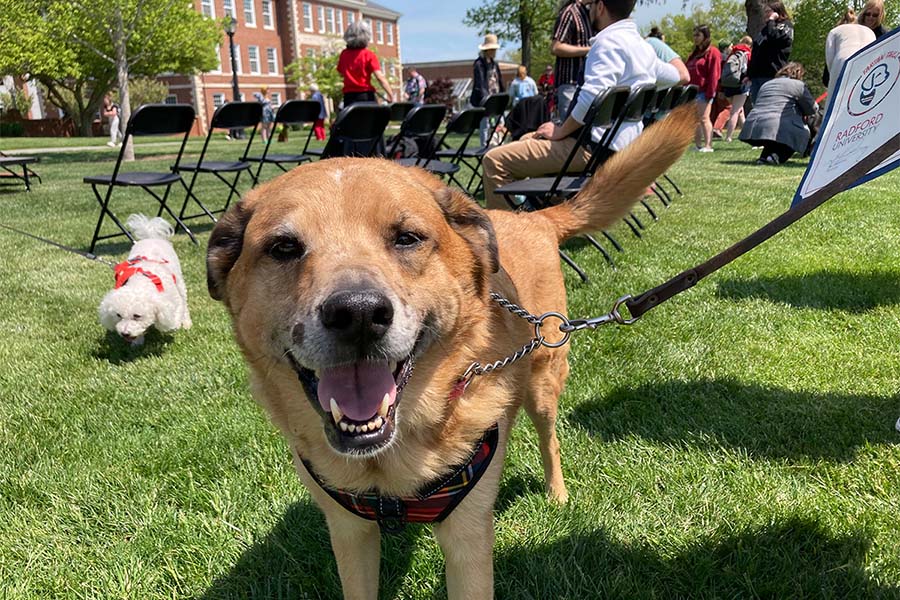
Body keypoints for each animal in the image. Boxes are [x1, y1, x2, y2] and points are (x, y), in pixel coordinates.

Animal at [98, 214, 190, 344]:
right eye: (118, 315)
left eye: (137, 316)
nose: (125, 334)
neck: (142, 281)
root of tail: (150, 236)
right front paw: (137, 342)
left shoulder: (172, 299)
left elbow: (177, 311)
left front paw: (175, 325)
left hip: (179, 282)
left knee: (185, 303)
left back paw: (187, 323)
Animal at [206, 105, 696, 596]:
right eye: (284, 247)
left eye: (407, 238)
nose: (359, 314)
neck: (389, 468)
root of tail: (532, 219)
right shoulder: (349, 533)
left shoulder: (468, 537)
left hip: (544, 379)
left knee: (550, 440)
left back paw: (557, 494)